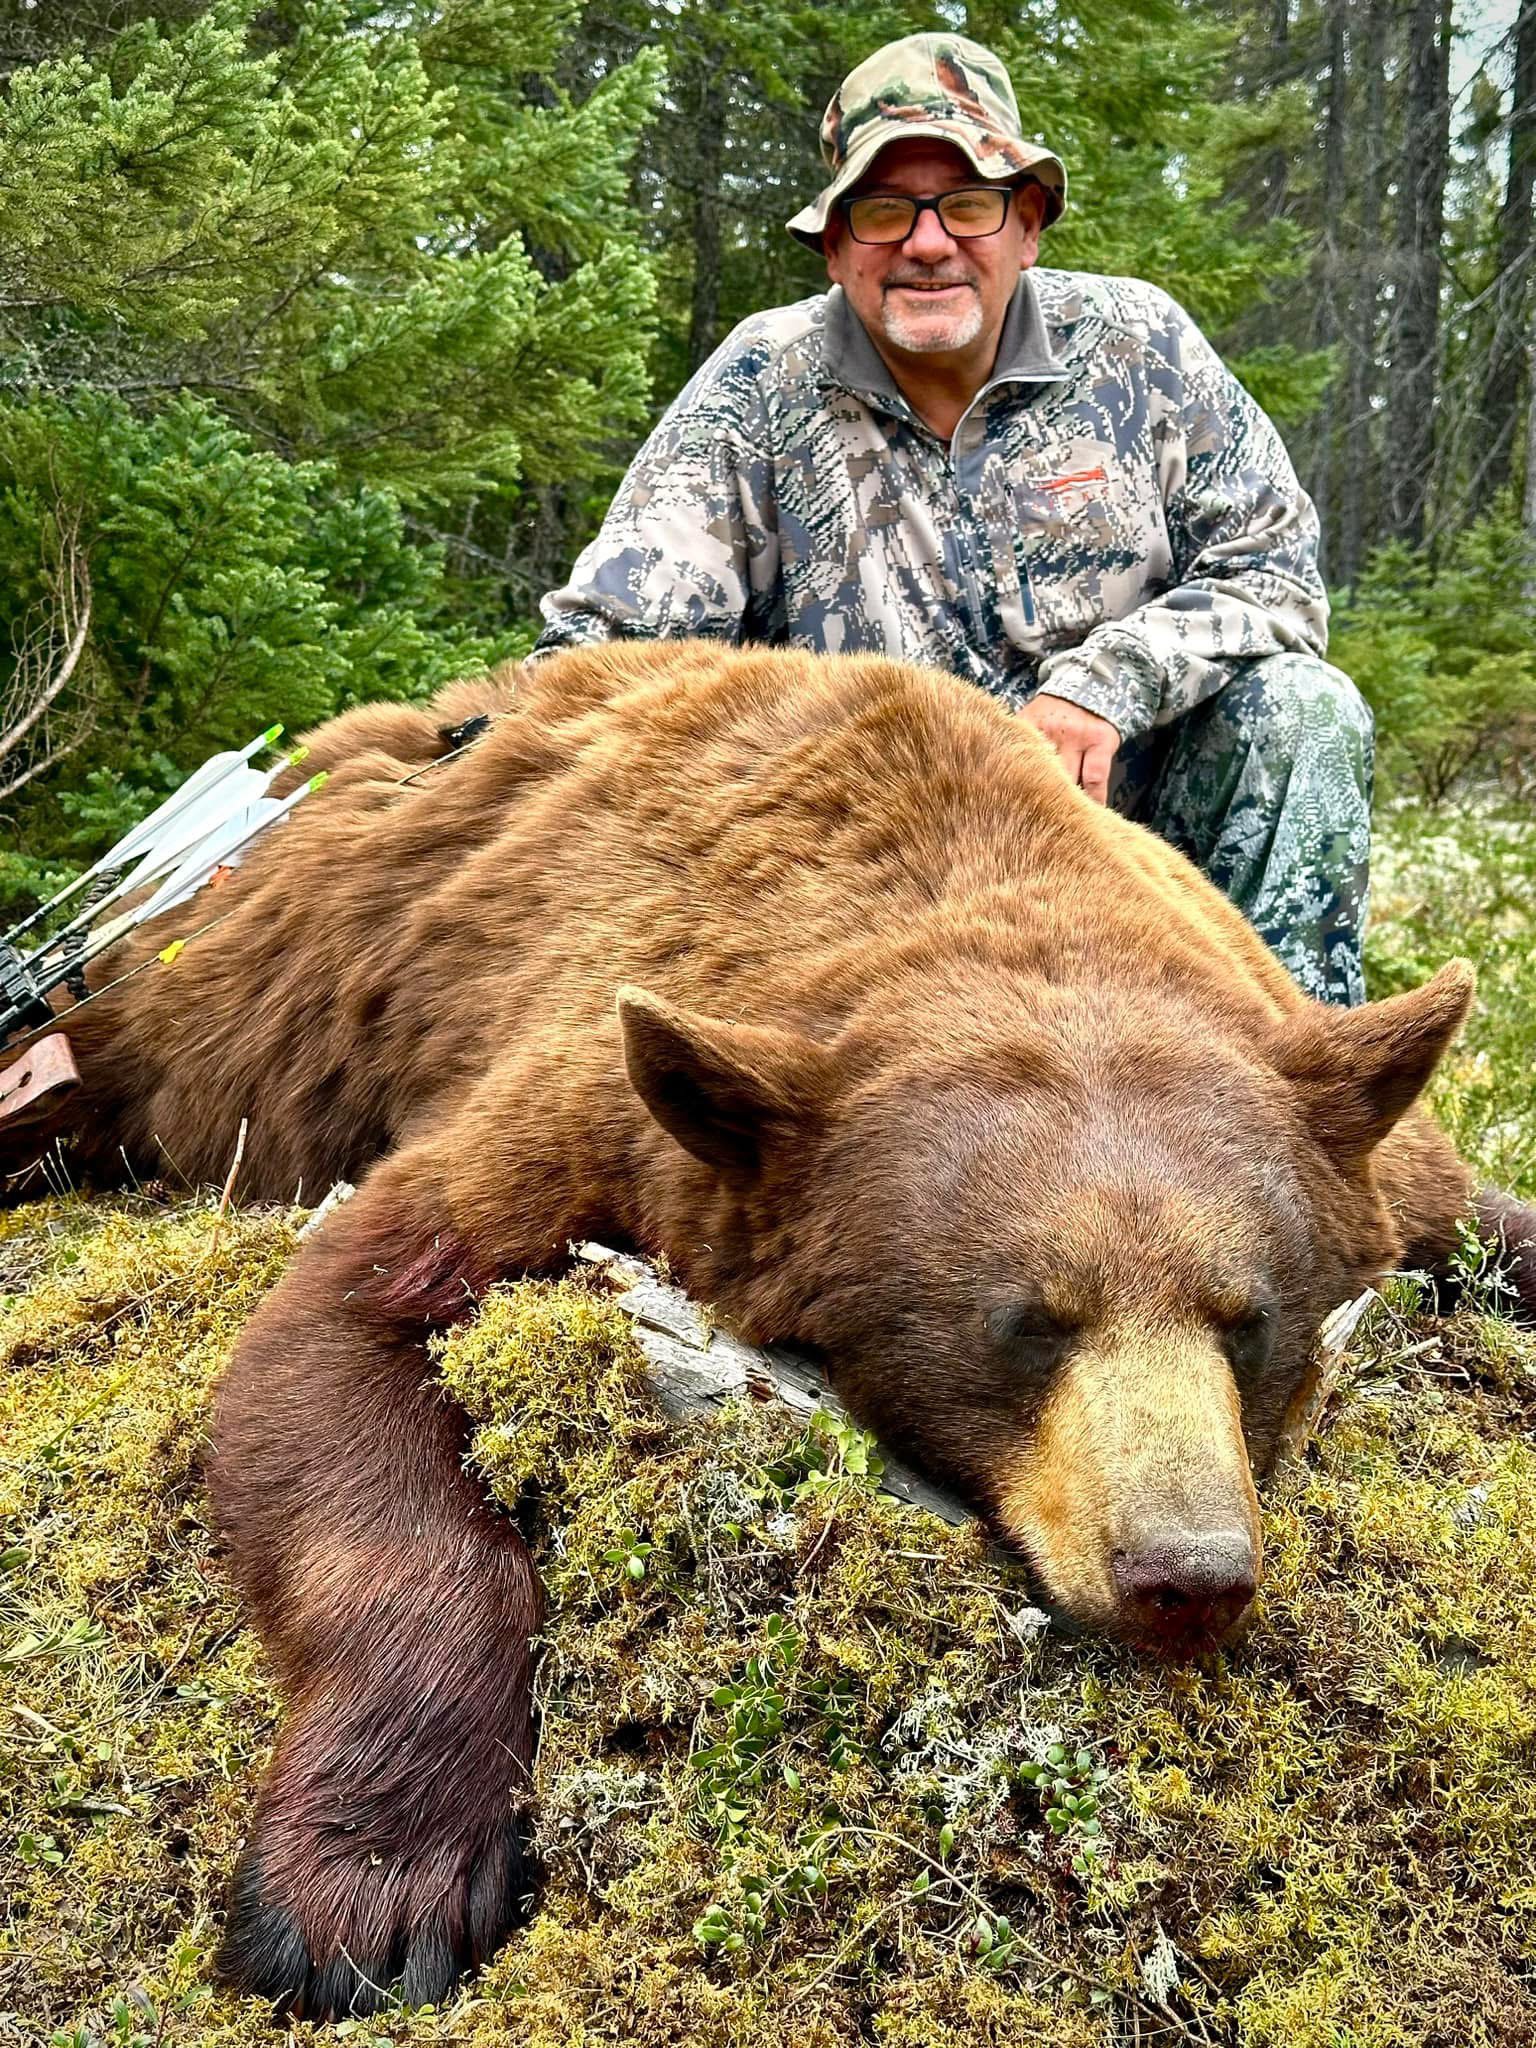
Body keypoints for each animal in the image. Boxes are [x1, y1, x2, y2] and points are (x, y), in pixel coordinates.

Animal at [5, 638, 1532, 2020]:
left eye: (1249, 1319)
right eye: (1027, 1323)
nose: (1187, 1574)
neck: (980, 874)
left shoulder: (1354, 1118)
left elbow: (1485, 1210)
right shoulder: (596, 1098)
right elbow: (337, 1348)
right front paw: (367, 1896)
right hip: (190, 999)